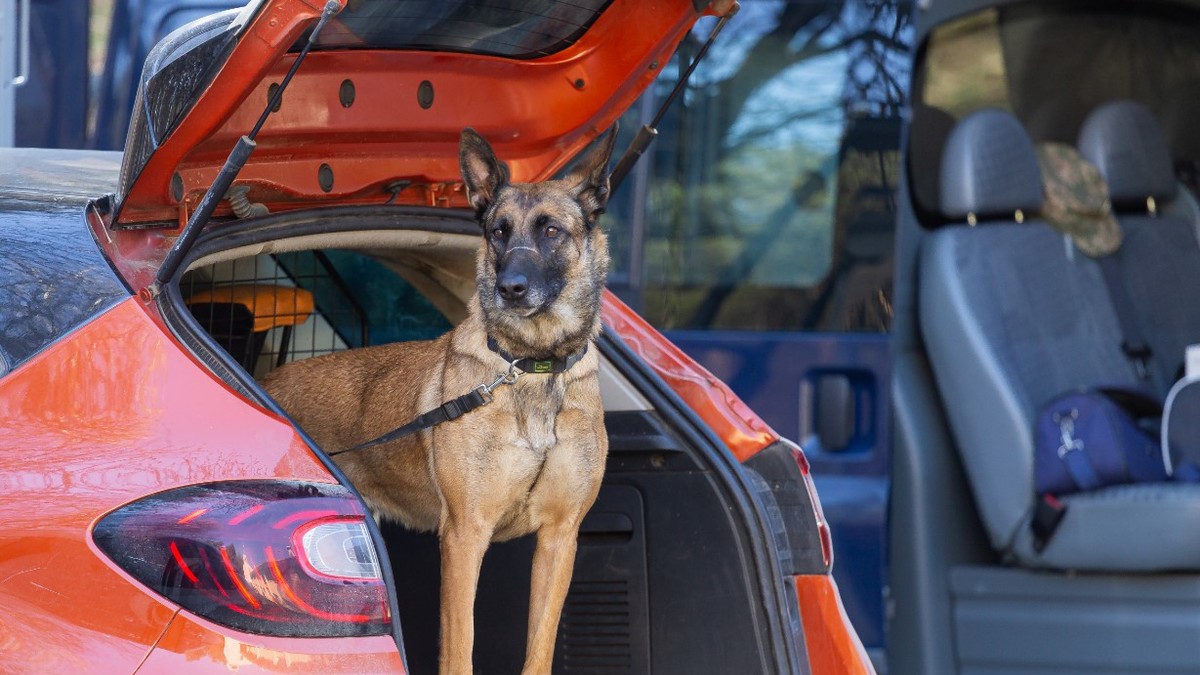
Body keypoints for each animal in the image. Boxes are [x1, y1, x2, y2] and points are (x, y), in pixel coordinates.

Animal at [264, 126, 619, 672]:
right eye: (498, 231)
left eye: (551, 231)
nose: (510, 288)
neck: (531, 366)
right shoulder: (464, 534)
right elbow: (460, 647)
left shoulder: (559, 538)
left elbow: (538, 648)